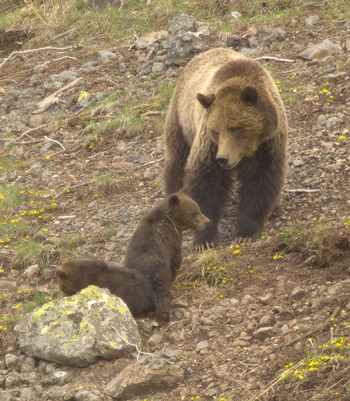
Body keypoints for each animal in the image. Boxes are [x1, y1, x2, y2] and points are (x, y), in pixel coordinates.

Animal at [164, 47, 288, 250]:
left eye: (235, 128)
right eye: (216, 130)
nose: (222, 158)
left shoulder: (268, 144)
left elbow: (261, 180)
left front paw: (246, 232)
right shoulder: (208, 145)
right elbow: (206, 181)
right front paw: (204, 239)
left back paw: (274, 209)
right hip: (181, 121)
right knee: (177, 161)